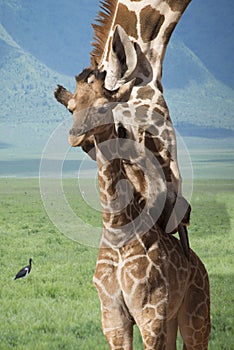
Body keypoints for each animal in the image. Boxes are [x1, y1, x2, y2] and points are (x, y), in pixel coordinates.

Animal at [54, 67, 210, 348]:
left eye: (103, 108)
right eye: (71, 108)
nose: (75, 134)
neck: (117, 228)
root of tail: (199, 264)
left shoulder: (150, 316)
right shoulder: (113, 318)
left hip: (196, 316)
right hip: (172, 319)